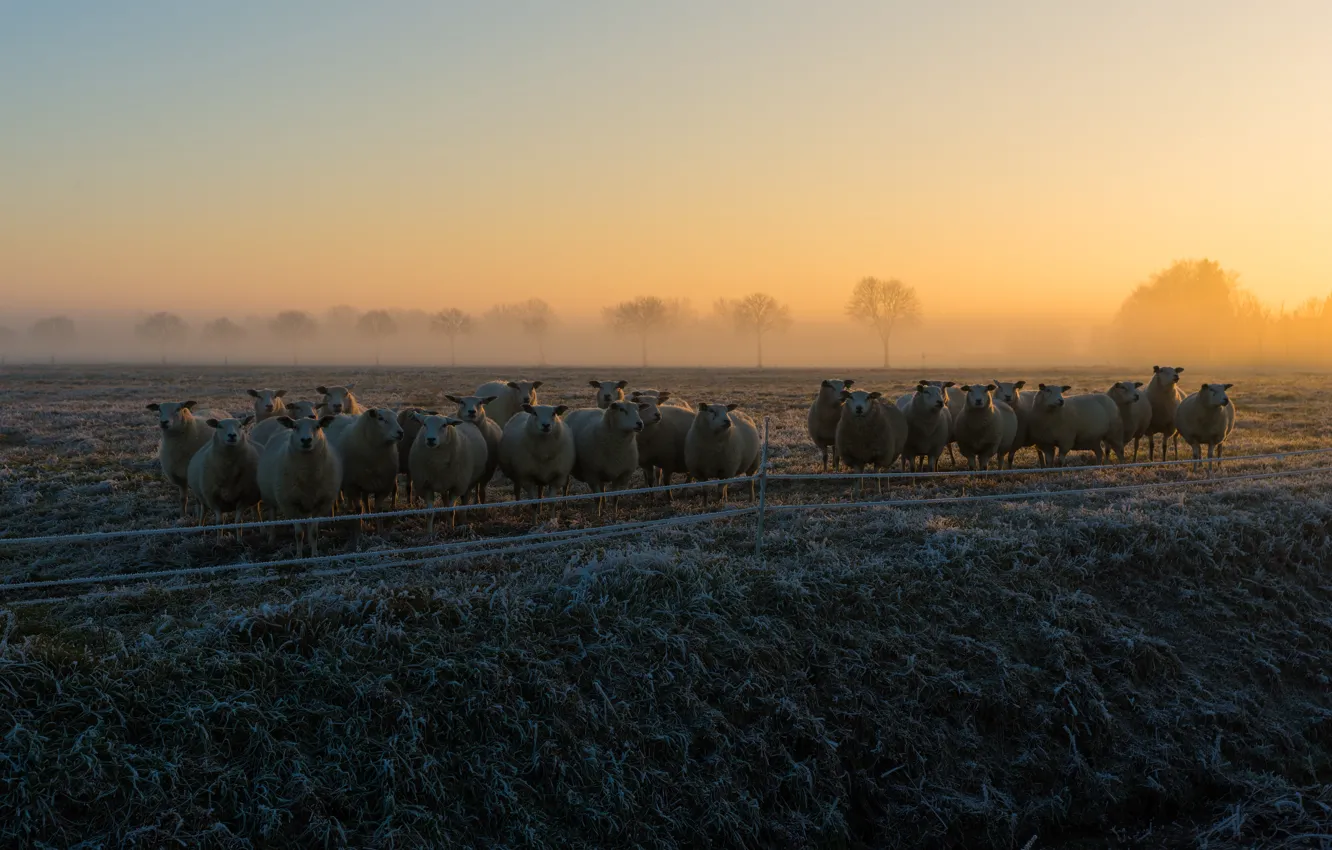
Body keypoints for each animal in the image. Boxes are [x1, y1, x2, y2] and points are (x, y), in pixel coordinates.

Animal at [257, 415, 343, 557]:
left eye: (317, 426)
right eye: (295, 427)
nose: (306, 440)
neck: (308, 476)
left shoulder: (320, 504)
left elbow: (314, 533)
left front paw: (314, 555)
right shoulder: (289, 505)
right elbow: (298, 534)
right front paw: (298, 556)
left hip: (307, 503)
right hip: (270, 497)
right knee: (272, 517)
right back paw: (271, 540)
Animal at [325, 407, 404, 539]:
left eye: (396, 418)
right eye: (380, 418)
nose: (401, 432)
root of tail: (340, 416)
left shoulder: (384, 486)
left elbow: (378, 509)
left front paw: (380, 531)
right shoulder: (352, 485)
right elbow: (358, 508)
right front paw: (360, 531)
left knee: (366, 498)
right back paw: (332, 518)